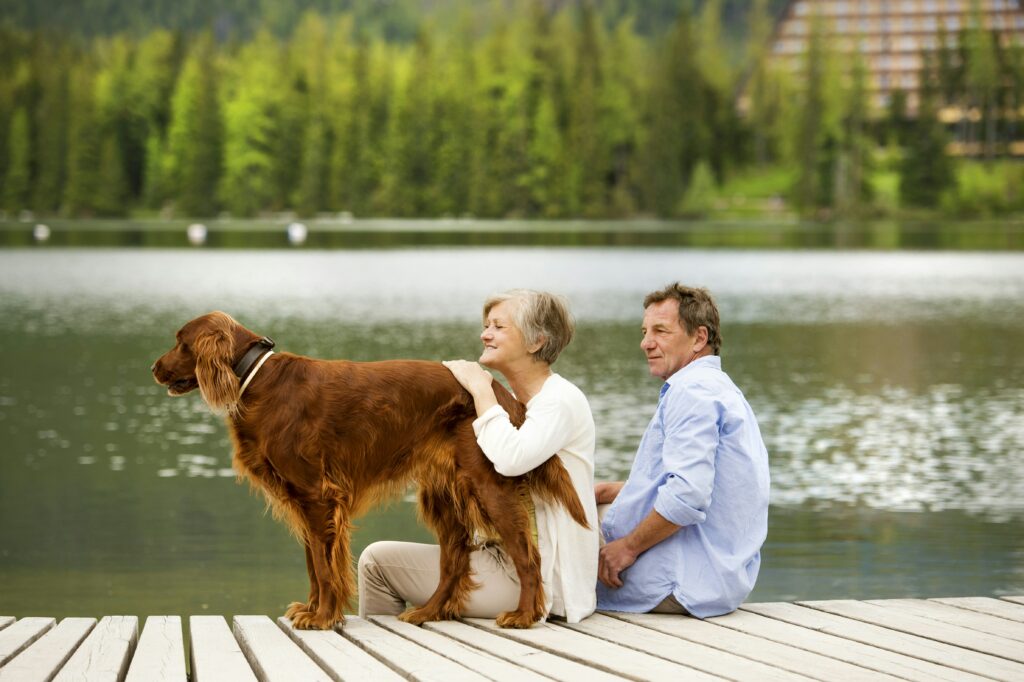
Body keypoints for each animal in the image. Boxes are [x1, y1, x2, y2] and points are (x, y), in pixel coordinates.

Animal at [148, 311, 589, 630]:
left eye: (181, 342)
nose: (154, 367)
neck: (257, 378)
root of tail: (502, 392)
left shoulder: (318, 495)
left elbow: (325, 565)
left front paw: (323, 617)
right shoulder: (305, 500)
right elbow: (314, 563)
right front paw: (312, 609)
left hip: (488, 484)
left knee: (526, 555)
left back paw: (523, 616)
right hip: (442, 492)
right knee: (455, 558)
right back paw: (427, 612)